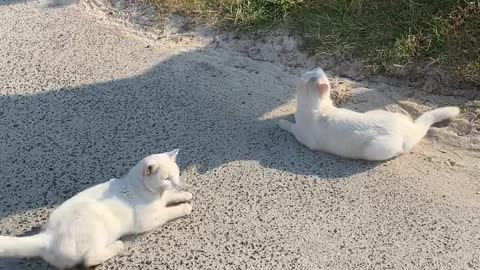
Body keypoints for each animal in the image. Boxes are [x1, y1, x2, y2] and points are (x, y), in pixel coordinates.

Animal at [0, 151, 191, 268]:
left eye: (176, 174)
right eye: (166, 178)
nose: (176, 183)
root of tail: (47, 236)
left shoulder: (162, 199)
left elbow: (170, 197)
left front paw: (185, 194)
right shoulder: (150, 220)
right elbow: (169, 212)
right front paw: (186, 207)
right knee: (89, 259)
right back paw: (117, 245)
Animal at [280, 68, 460, 160]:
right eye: (312, 70)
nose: (319, 68)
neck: (317, 106)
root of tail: (410, 129)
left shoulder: (303, 137)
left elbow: (291, 127)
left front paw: (282, 123)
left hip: (377, 149)